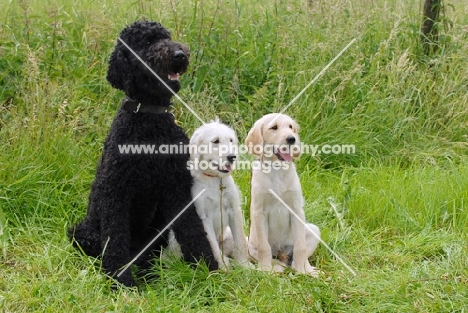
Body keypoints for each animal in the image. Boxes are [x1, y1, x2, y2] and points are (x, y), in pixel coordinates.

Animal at [68, 20, 218, 286]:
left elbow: (193, 229)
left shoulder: (177, 188)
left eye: (166, 37)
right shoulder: (116, 192)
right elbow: (115, 239)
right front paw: (120, 280)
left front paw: (206, 268)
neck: (149, 120)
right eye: (147, 42)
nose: (179, 55)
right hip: (82, 233)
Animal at [187, 120, 252, 266]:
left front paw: (244, 265)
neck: (215, 180)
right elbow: (214, 248)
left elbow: (240, 241)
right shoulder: (204, 218)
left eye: (231, 140)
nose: (232, 157)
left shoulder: (234, 210)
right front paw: (222, 268)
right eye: (215, 141)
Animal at [243, 112, 320, 276]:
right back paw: (276, 267)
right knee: (271, 257)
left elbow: (300, 247)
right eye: (274, 127)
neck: (277, 169)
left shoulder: (296, 209)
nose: (292, 139)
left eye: (291, 127)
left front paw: (305, 270)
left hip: (313, 230)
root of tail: (281, 253)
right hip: (248, 244)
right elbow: (264, 247)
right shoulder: (259, 212)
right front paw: (265, 270)